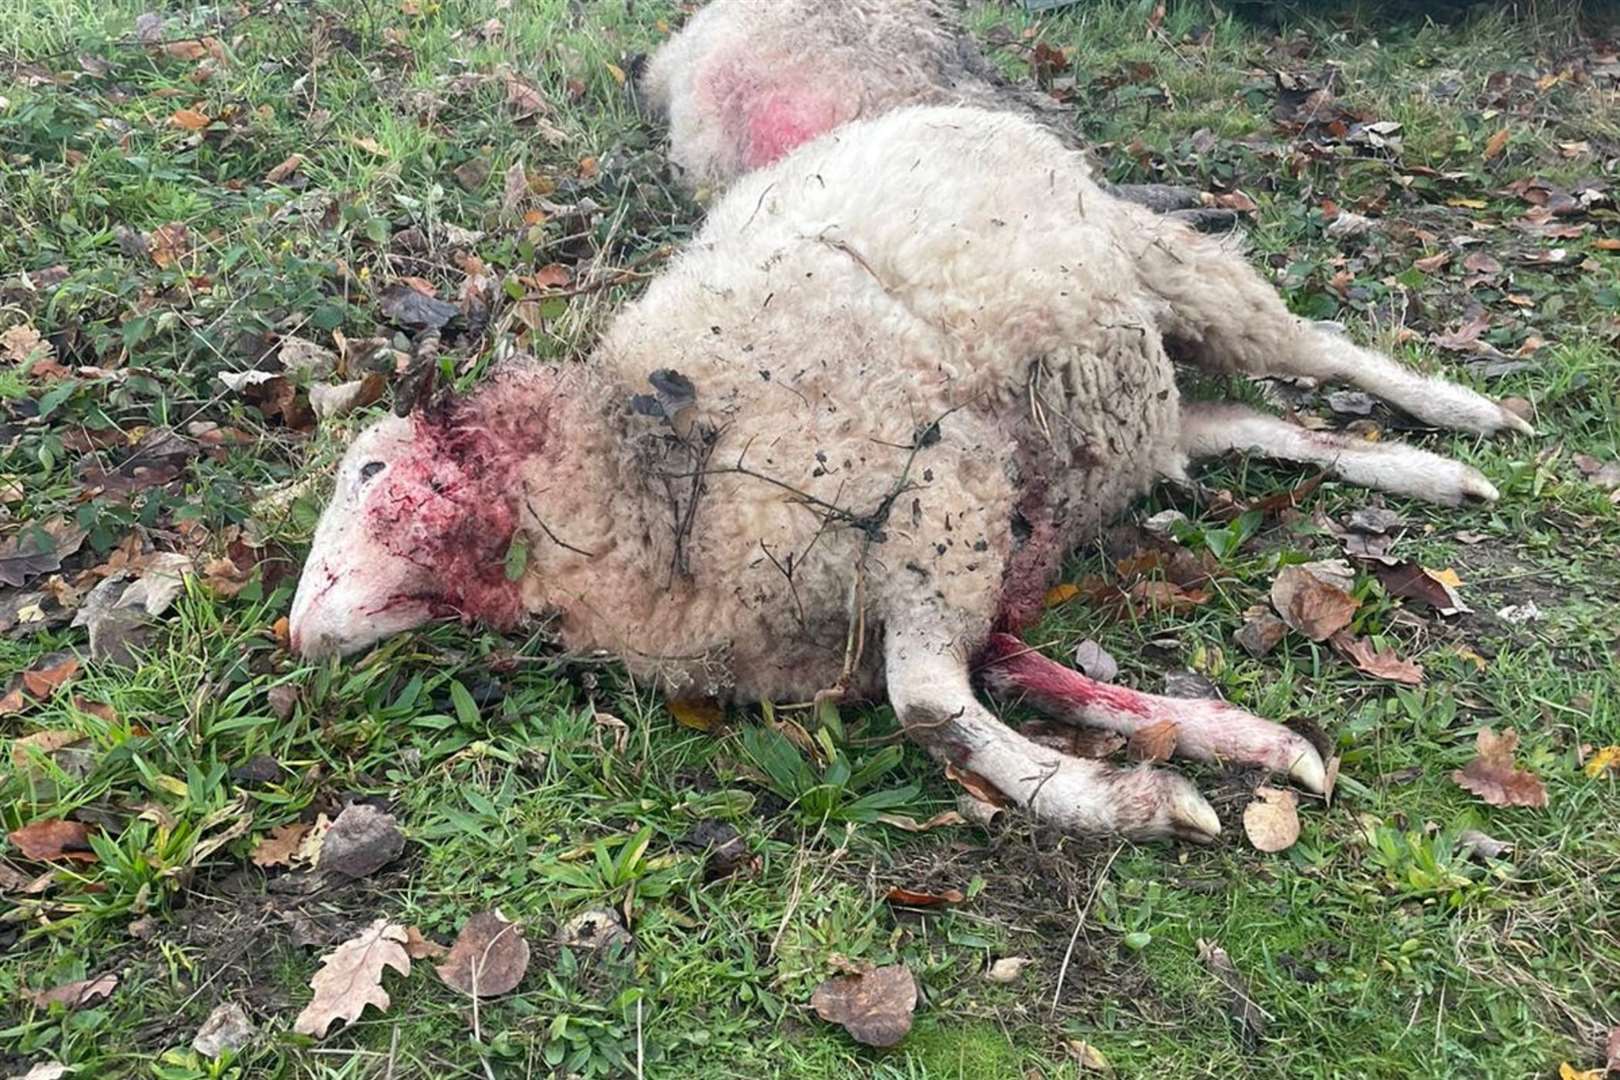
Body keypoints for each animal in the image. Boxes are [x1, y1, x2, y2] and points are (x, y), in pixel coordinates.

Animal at [294, 105, 1529, 841]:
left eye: (370, 472)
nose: (296, 634)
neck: (615, 476)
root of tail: (924, 106)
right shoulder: (946, 561)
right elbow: (1022, 678)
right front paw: (1239, 750)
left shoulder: (945, 490)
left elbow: (931, 707)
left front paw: (1125, 801)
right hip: (1117, 403)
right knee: (1245, 425)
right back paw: (1422, 473)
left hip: (1165, 268)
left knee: (1318, 350)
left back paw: (1464, 422)